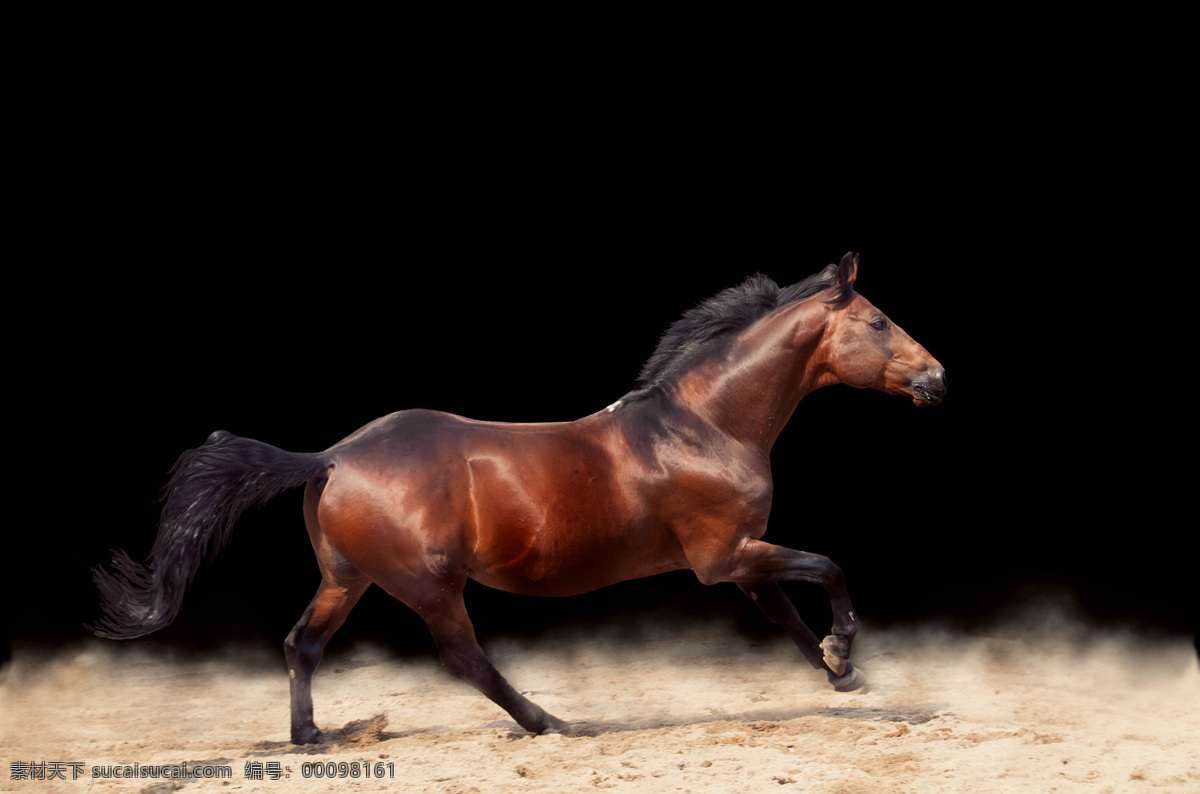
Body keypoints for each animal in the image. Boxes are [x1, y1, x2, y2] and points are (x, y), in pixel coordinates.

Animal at [91, 251, 945, 743]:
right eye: (878, 321)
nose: (937, 377)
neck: (702, 425)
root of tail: (332, 456)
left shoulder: (740, 561)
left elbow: (789, 616)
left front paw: (840, 672)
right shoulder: (726, 555)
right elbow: (828, 567)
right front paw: (845, 651)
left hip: (348, 576)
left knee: (303, 643)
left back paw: (313, 738)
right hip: (429, 583)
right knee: (462, 657)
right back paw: (549, 722)